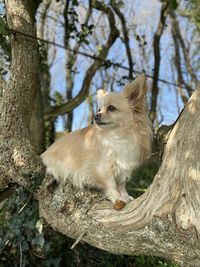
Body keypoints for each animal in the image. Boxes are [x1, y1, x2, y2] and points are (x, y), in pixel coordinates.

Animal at [41, 74, 152, 210]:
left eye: (111, 108)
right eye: (99, 109)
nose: (96, 115)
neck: (119, 134)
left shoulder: (125, 165)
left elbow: (122, 183)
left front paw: (125, 196)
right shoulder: (104, 167)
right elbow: (112, 184)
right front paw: (118, 199)